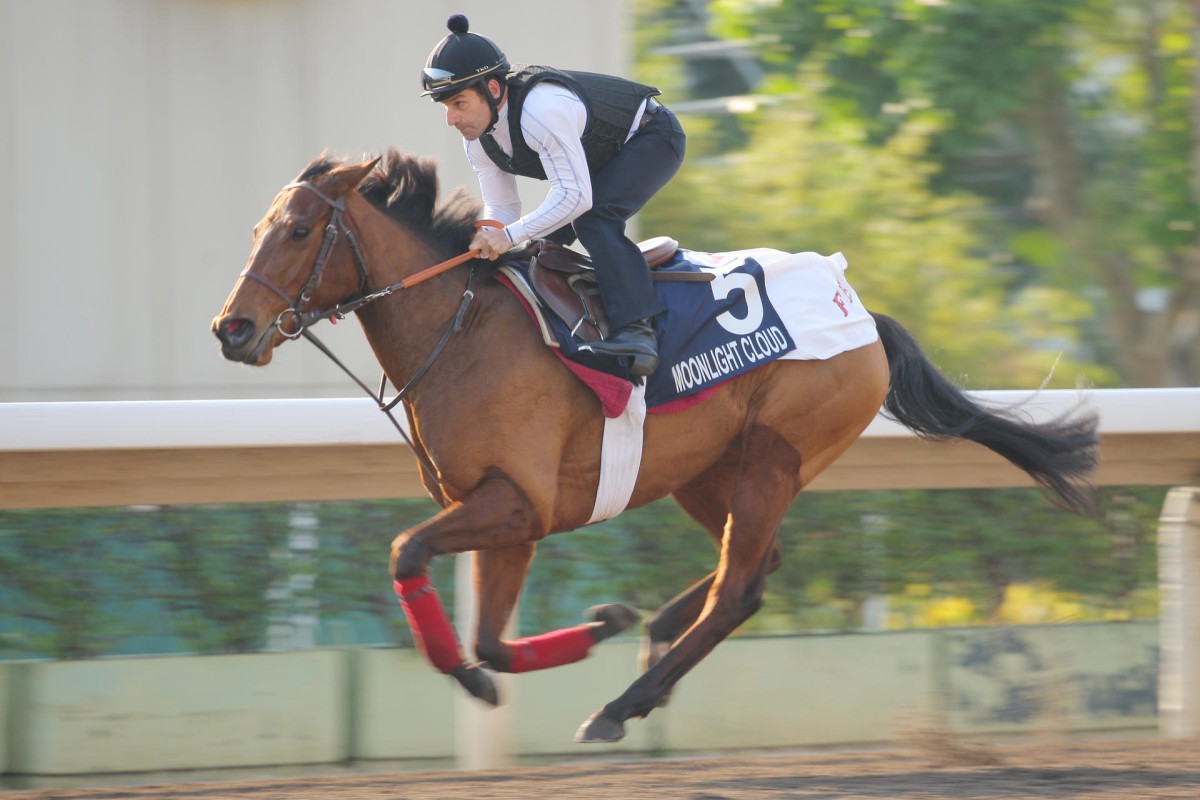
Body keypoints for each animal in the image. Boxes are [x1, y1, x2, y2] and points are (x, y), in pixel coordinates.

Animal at [213, 146, 1099, 743]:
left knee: (738, 591)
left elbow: (408, 556)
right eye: (256, 228)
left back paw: (622, 705)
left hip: (774, 455)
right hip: (706, 471)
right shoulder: (504, 515)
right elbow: (493, 639)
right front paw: (600, 623)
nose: (233, 330)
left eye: (298, 230)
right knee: (755, 571)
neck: (461, 332)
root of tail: (858, 307)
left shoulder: (516, 504)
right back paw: (654, 641)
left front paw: (479, 676)